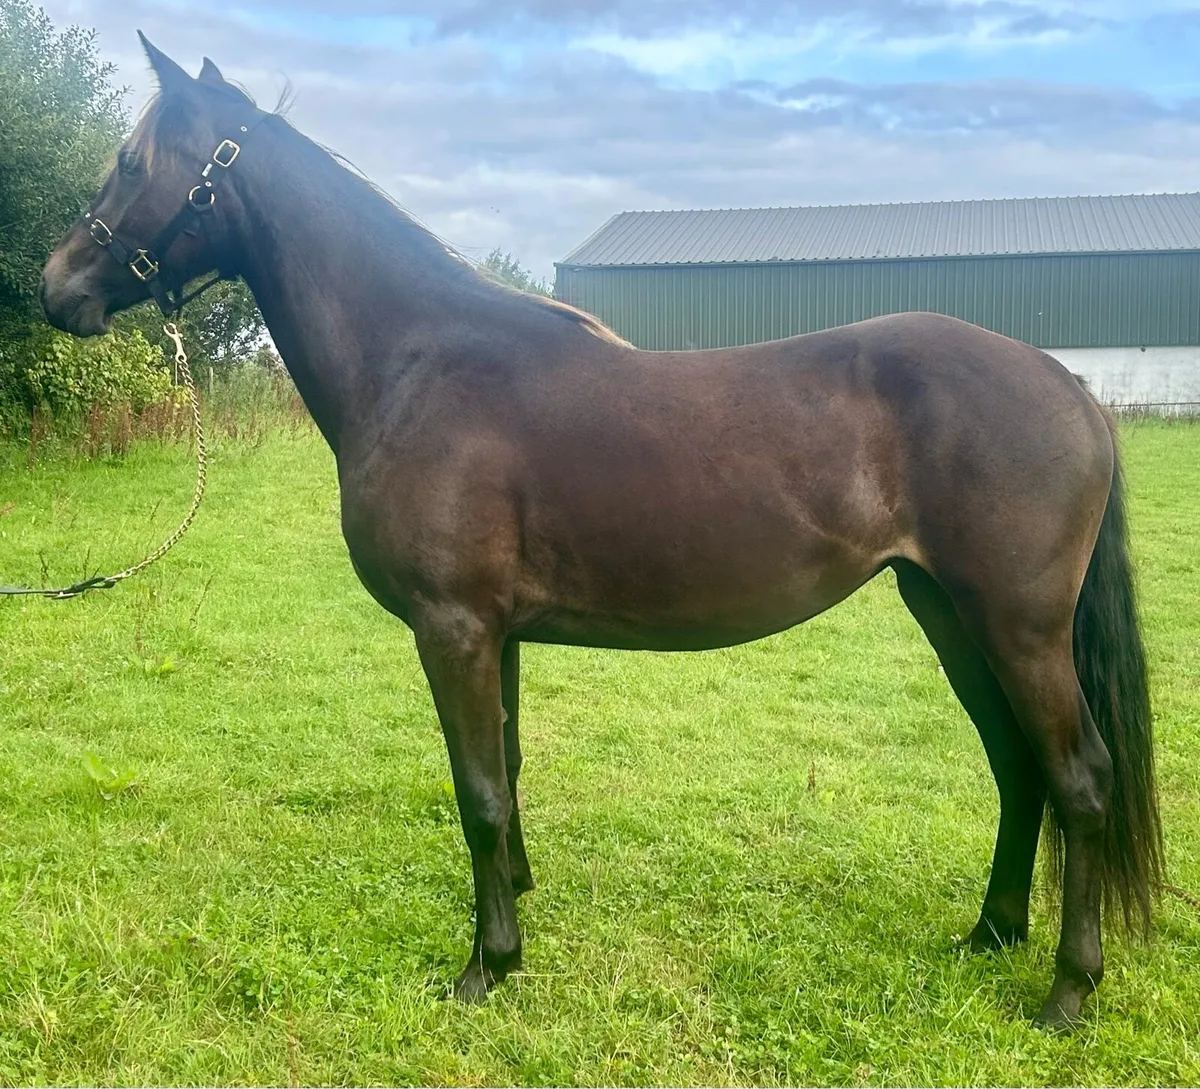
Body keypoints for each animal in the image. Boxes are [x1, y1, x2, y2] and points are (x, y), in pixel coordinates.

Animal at [39, 36, 1162, 1030]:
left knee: (1079, 782)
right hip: (947, 611)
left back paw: (1067, 991)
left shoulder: (451, 628)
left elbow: (477, 791)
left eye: (133, 162)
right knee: (1017, 768)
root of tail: (1069, 385)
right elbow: (506, 773)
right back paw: (989, 932)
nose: (58, 285)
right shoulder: (495, 633)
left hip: (1017, 628)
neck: (419, 361)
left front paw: (486, 967)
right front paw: (517, 910)